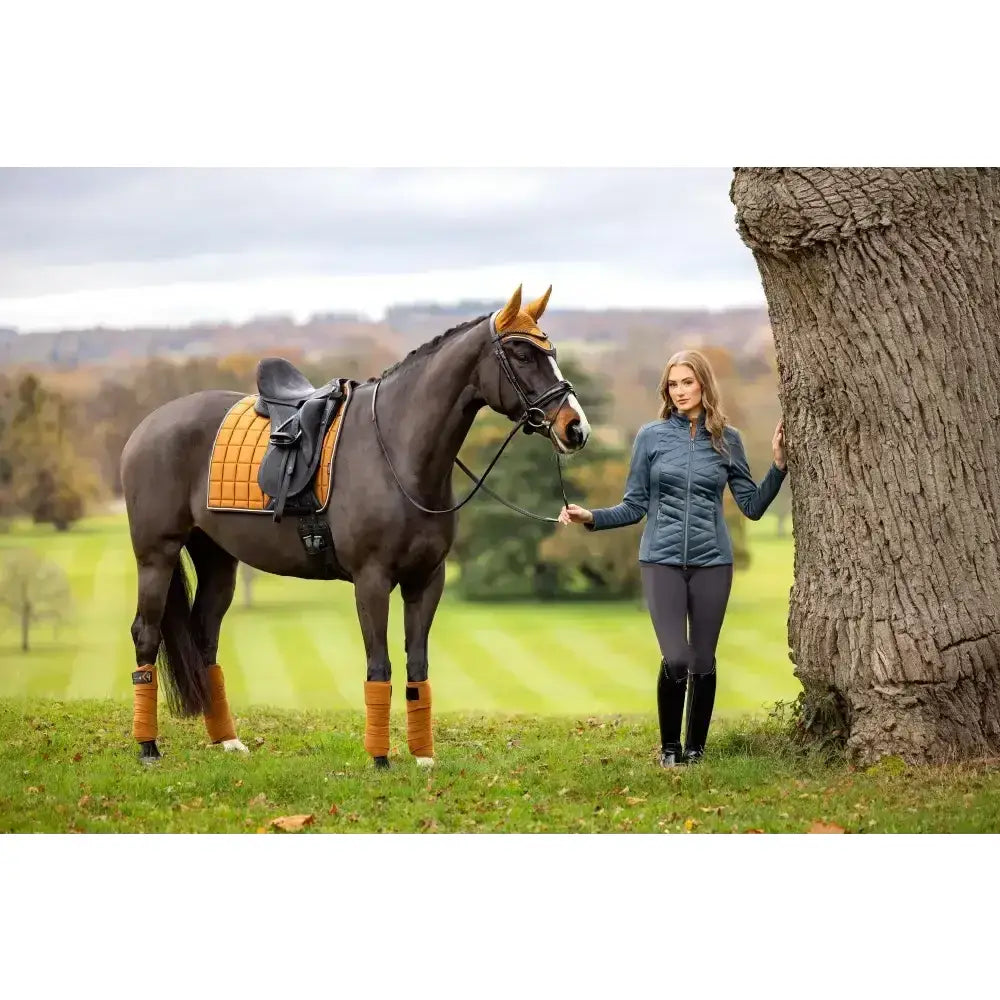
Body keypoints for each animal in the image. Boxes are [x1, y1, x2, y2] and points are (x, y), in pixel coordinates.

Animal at [120, 285, 591, 769]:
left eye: (552, 352)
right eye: (522, 354)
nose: (575, 427)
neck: (398, 451)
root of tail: (150, 424)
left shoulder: (427, 579)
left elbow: (417, 667)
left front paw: (423, 758)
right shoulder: (372, 580)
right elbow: (379, 666)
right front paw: (380, 759)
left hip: (218, 560)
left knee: (204, 638)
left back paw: (226, 740)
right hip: (157, 554)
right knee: (146, 634)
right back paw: (148, 746)